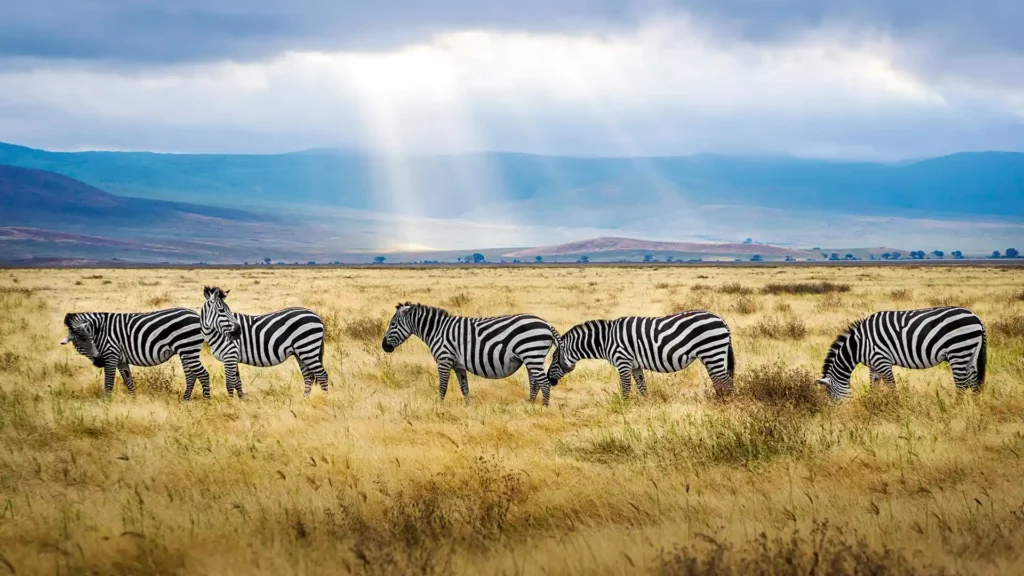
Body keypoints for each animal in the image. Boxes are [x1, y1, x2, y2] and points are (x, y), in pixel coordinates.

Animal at [59, 307, 211, 397]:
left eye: (91, 340)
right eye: (79, 343)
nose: (99, 361)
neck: (100, 331)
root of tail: (196, 315)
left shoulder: (111, 355)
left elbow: (108, 383)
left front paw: (106, 404)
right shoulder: (121, 360)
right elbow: (128, 381)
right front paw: (133, 400)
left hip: (188, 349)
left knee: (203, 374)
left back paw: (206, 401)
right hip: (186, 351)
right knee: (191, 375)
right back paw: (186, 400)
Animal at [198, 284, 327, 397]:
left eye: (228, 310)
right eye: (221, 311)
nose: (238, 331)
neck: (216, 333)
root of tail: (317, 316)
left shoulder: (230, 355)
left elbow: (230, 383)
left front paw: (231, 403)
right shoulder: (233, 357)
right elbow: (237, 382)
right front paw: (241, 400)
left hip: (308, 349)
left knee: (322, 375)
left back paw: (325, 398)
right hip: (301, 352)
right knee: (309, 376)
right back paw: (305, 400)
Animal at [382, 301, 561, 403]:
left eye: (392, 324)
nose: (384, 346)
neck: (437, 330)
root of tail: (546, 324)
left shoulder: (444, 360)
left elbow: (442, 387)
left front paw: (439, 406)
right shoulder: (458, 365)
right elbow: (464, 388)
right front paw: (468, 408)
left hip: (532, 353)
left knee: (544, 383)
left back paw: (543, 408)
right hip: (531, 357)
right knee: (535, 382)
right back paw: (530, 404)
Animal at [544, 309, 737, 399]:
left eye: (554, 358)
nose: (550, 380)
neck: (605, 340)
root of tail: (721, 320)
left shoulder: (623, 362)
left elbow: (626, 387)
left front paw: (624, 407)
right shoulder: (635, 365)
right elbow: (642, 387)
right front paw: (646, 406)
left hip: (712, 351)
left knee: (725, 380)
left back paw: (727, 404)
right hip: (711, 355)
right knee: (719, 380)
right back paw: (718, 401)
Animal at [815, 307, 983, 397]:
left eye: (830, 394)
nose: (835, 412)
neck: (859, 344)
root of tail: (976, 317)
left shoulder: (882, 360)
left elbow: (891, 387)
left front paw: (895, 406)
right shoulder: (873, 365)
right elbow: (873, 386)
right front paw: (872, 404)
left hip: (958, 351)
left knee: (961, 384)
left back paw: (955, 409)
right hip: (970, 353)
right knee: (973, 382)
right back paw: (974, 409)